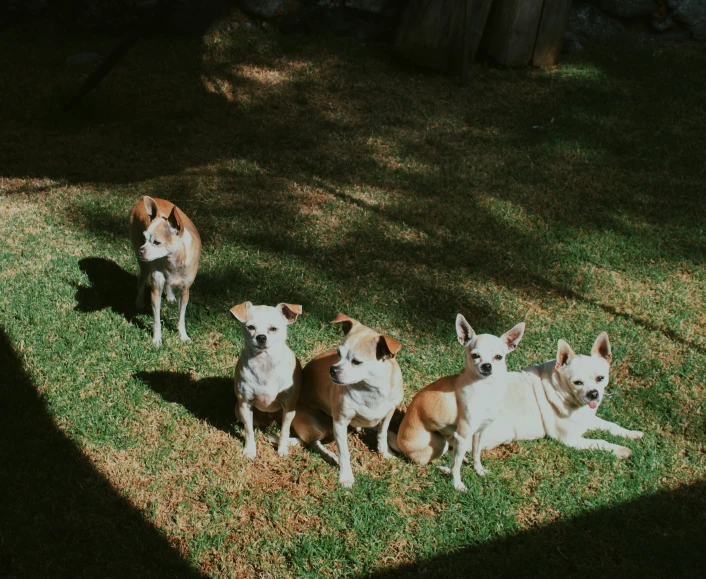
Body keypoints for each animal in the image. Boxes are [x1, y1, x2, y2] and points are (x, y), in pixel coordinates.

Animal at [128, 197, 201, 346]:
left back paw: (170, 296)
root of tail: (140, 201)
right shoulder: (156, 291)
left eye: (157, 242)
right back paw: (139, 302)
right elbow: (157, 320)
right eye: (145, 238)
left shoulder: (185, 292)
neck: (172, 261)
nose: (140, 251)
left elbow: (181, 317)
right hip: (145, 267)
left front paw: (183, 336)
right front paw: (157, 339)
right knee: (141, 281)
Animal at [228, 302, 300, 460]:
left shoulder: (289, 408)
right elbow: (249, 430)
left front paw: (282, 449)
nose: (261, 337)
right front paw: (250, 450)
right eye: (250, 327)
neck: (264, 363)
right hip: (238, 409)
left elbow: (284, 431)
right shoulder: (245, 404)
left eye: (273, 329)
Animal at [290, 314, 402, 488]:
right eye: (338, 353)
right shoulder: (340, 422)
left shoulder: (388, 413)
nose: (333, 369)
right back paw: (330, 455)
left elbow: (382, 434)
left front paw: (384, 453)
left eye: (357, 362)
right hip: (315, 427)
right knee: (314, 443)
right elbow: (344, 452)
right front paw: (346, 476)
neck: (370, 390)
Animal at [384, 314, 524, 492]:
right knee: (429, 461)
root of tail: (399, 443)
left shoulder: (479, 432)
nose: (487, 366)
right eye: (475, 355)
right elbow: (456, 466)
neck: (485, 389)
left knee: (453, 453)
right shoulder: (464, 435)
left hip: (449, 436)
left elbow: (476, 453)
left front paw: (478, 470)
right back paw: (444, 468)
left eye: (499, 357)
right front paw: (457, 484)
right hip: (439, 443)